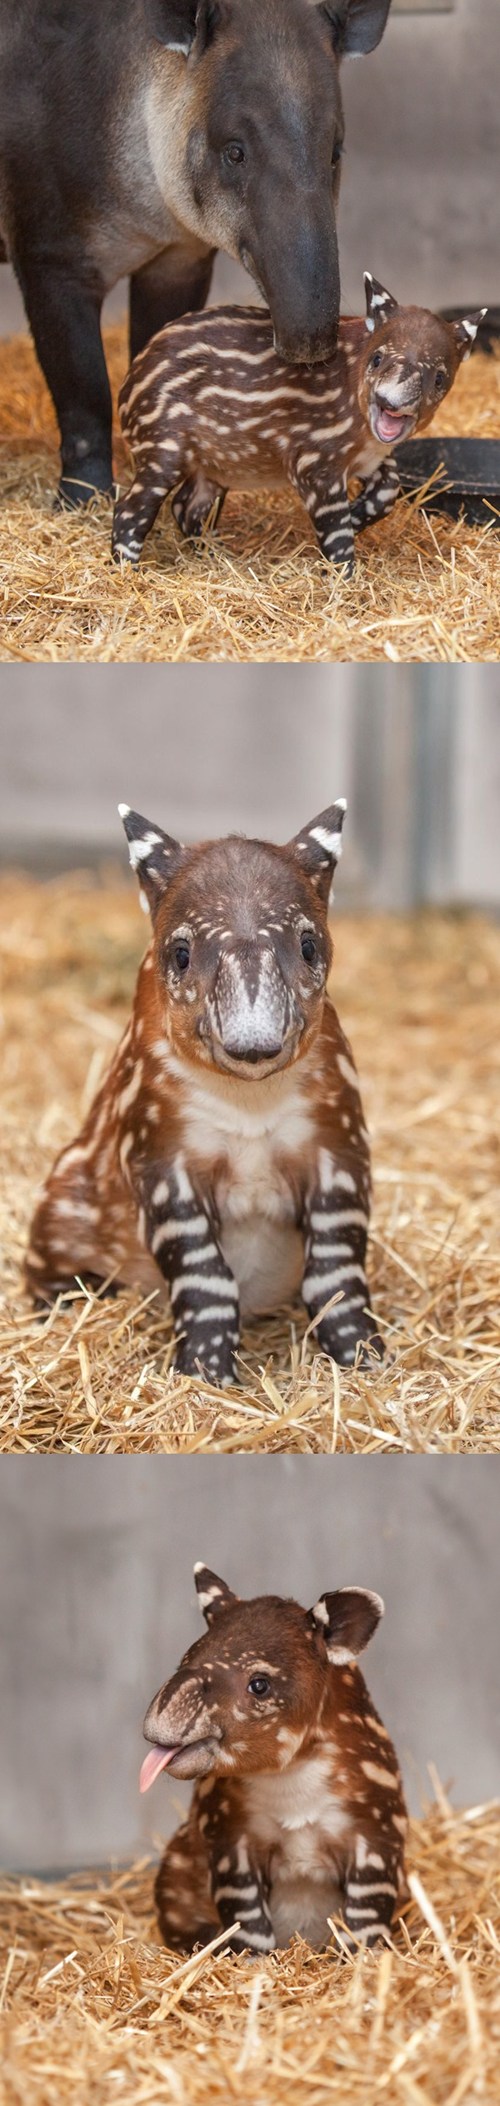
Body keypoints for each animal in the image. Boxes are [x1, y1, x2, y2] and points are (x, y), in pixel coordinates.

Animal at [26, 796, 381, 1389]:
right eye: (181, 954)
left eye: (309, 945)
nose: (253, 1045)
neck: (248, 1101)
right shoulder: (159, 1151)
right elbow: (204, 1275)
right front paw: (205, 1372)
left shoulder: (337, 1141)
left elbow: (336, 1270)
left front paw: (363, 1356)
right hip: (62, 1207)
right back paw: (62, 1308)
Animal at [139, 1566, 407, 1954]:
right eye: (183, 1660)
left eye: (259, 1684)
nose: (160, 1722)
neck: (289, 1779)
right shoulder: (230, 1837)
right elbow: (247, 1923)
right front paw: (255, 1962)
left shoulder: (375, 1833)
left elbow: (365, 1919)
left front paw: (360, 1958)